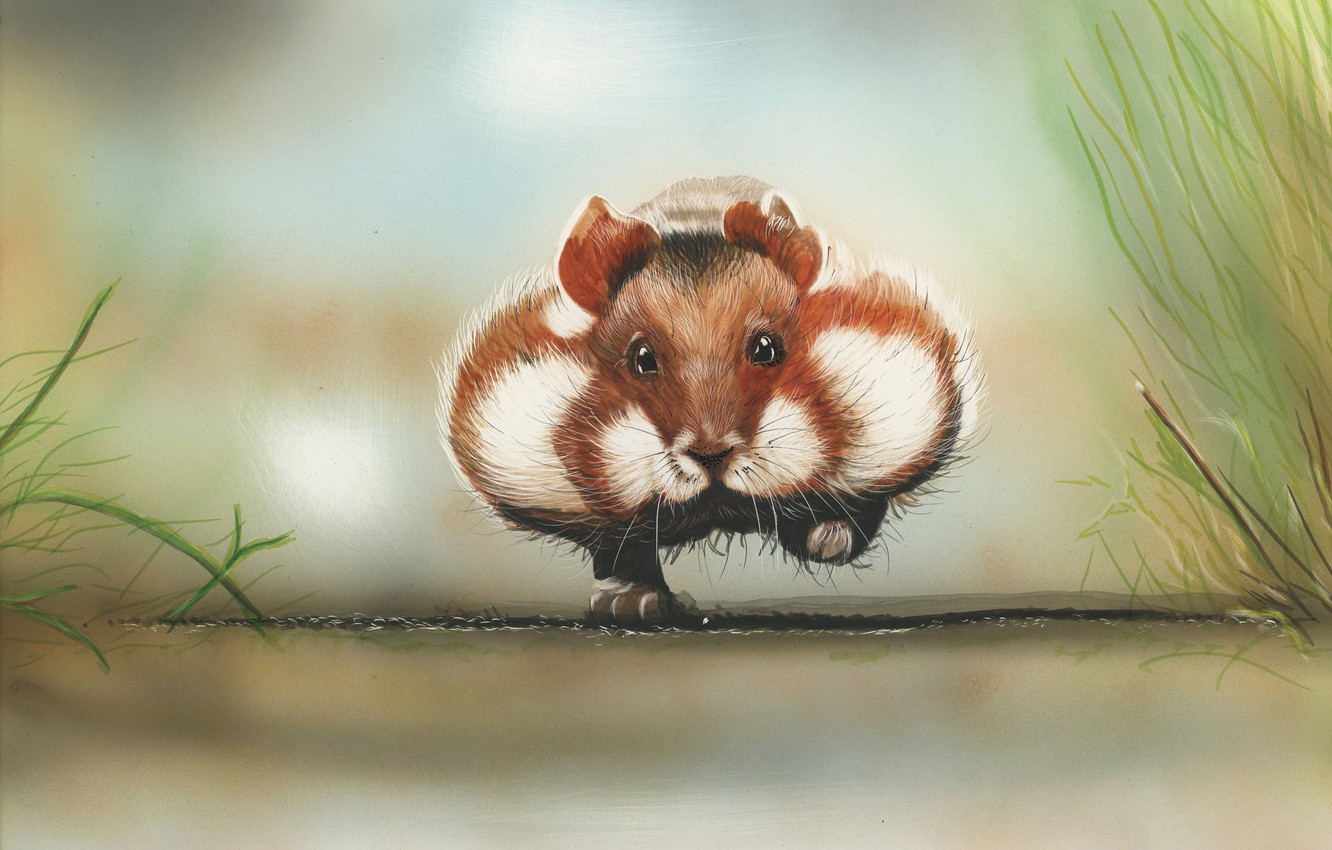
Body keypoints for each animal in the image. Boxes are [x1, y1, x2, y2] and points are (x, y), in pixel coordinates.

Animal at [439, 176, 981, 623]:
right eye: (641, 358)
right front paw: (629, 604)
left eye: (767, 348)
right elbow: (622, 546)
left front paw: (826, 539)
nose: (711, 455)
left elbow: (858, 504)